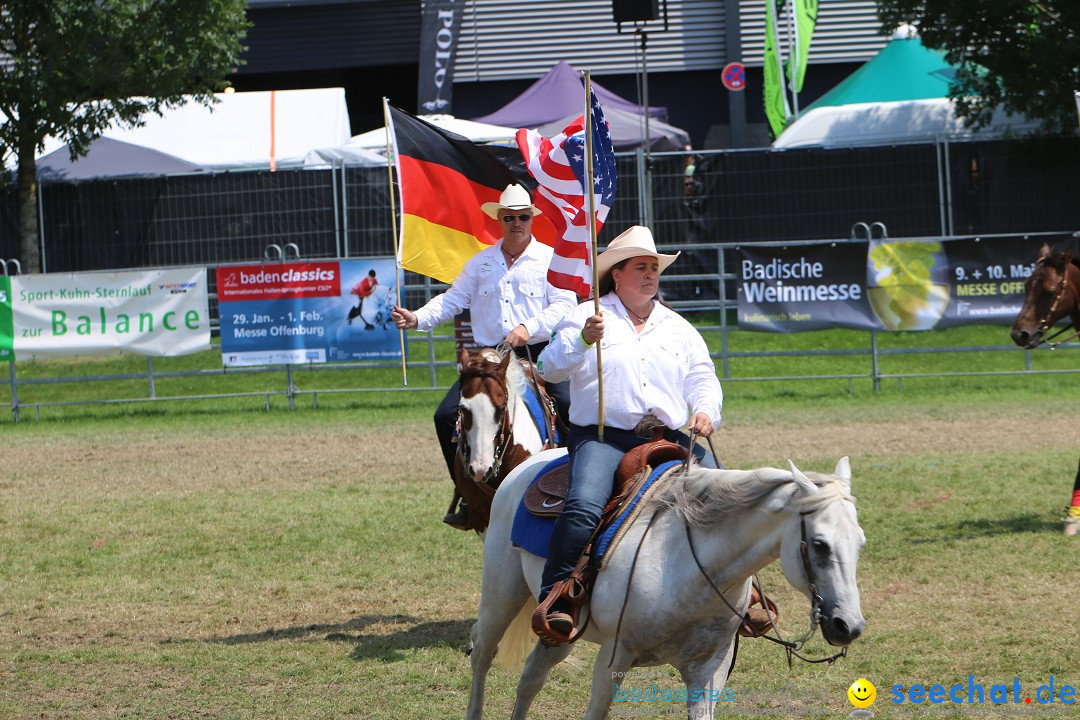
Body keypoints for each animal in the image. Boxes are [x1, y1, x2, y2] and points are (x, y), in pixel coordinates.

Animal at [466, 453, 868, 716]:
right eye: (820, 544)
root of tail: (528, 465)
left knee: (532, 675)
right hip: (501, 596)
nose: (848, 625)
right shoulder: (613, 658)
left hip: (561, 630)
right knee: (483, 654)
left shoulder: (710, 669)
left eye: (861, 542)